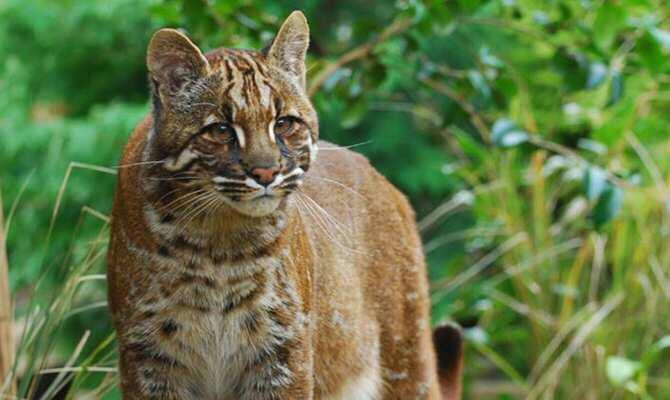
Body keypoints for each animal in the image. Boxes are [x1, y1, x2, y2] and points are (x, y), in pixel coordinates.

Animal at [107, 10, 462, 398]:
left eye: (284, 124)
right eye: (220, 130)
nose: (267, 172)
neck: (217, 242)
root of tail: (384, 182)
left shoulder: (283, 349)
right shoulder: (148, 355)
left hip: (407, 363)